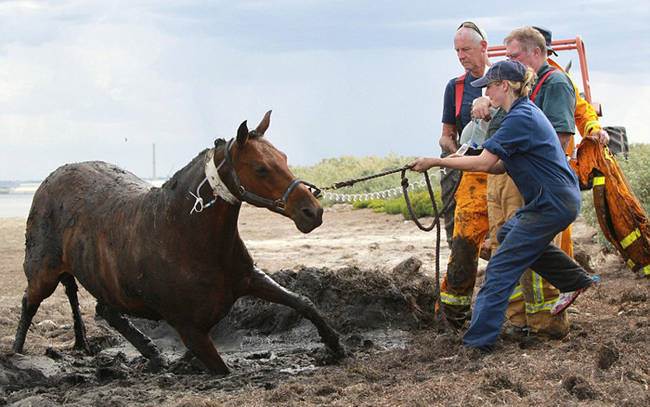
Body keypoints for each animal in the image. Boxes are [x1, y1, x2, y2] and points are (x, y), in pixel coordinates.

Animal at [12, 111, 342, 376]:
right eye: (261, 168)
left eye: (283, 158)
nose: (312, 212)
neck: (184, 235)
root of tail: (49, 179)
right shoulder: (191, 331)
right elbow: (222, 369)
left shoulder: (249, 279)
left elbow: (303, 302)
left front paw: (335, 346)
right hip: (44, 275)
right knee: (30, 302)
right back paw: (16, 354)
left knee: (105, 311)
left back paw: (152, 353)